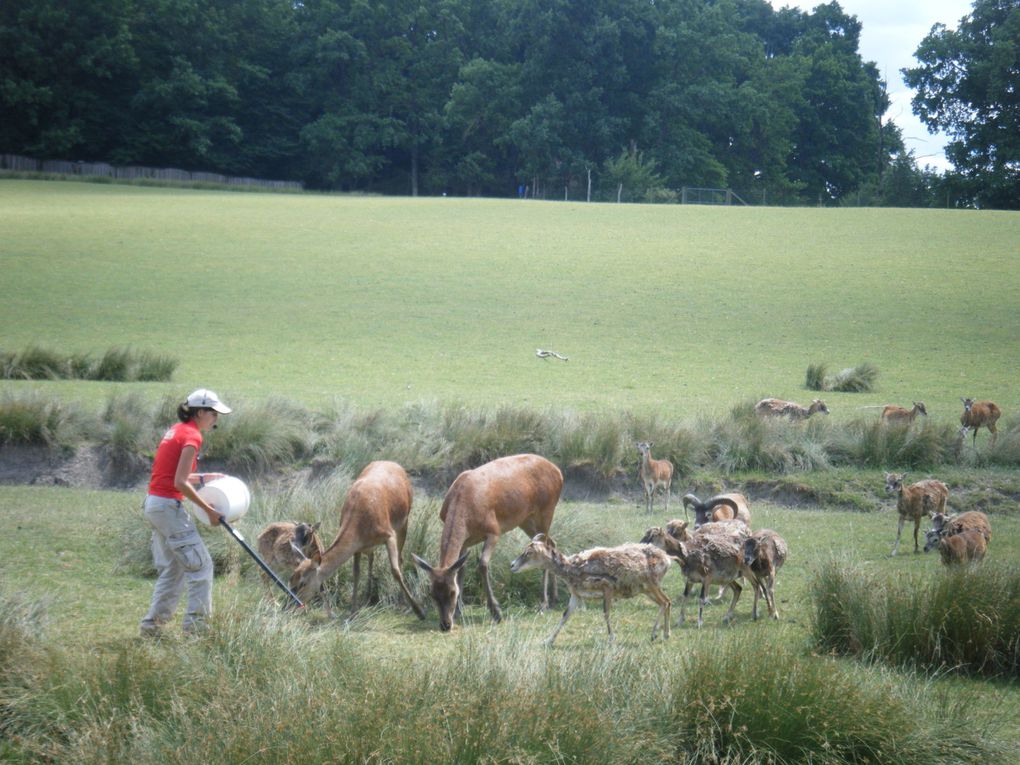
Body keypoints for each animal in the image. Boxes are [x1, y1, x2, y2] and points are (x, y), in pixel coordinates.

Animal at [289, 465, 424, 620]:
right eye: (291, 579)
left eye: (303, 583)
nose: (290, 604)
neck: (360, 525)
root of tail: (394, 464)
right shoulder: (357, 548)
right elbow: (356, 574)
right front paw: (353, 613)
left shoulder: (389, 534)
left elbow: (395, 571)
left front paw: (419, 611)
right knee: (372, 558)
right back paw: (367, 597)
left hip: (404, 521)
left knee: (400, 558)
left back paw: (403, 602)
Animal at [410, 452, 563, 632]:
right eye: (432, 593)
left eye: (452, 592)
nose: (445, 625)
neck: (464, 506)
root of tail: (558, 471)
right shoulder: (465, 541)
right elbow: (461, 569)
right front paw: (459, 612)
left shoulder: (493, 531)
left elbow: (482, 564)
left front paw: (496, 613)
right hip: (525, 520)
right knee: (552, 543)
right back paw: (554, 598)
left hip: (546, 512)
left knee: (545, 546)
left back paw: (544, 603)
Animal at [507, 538, 669, 648]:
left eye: (529, 553)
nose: (512, 565)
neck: (574, 569)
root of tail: (667, 559)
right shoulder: (576, 595)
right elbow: (565, 616)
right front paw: (548, 641)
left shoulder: (607, 587)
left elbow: (606, 613)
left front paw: (611, 639)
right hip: (646, 589)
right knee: (666, 602)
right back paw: (663, 635)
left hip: (652, 585)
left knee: (666, 601)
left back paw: (656, 634)